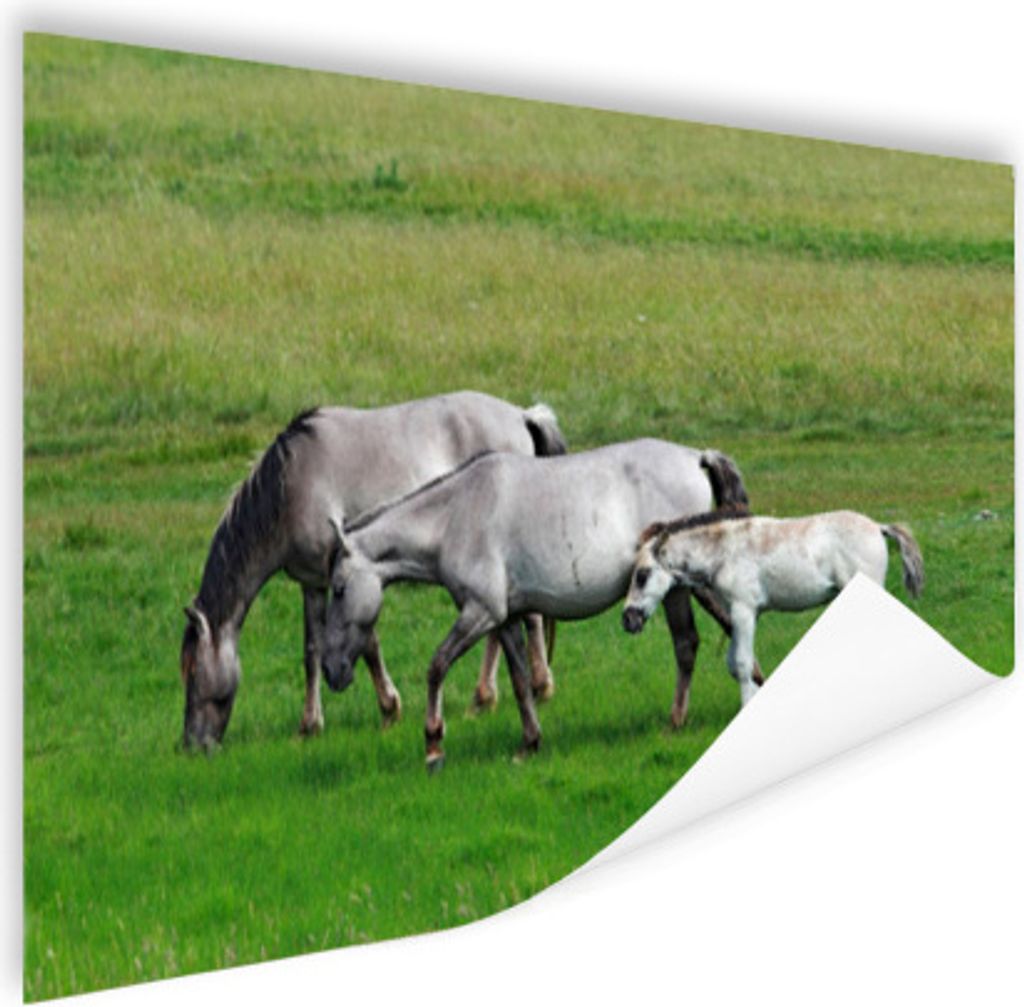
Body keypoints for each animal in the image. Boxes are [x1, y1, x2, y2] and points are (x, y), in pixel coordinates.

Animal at [180, 391, 567, 750]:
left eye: (194, 671)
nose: (191, 745)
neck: (292, 487)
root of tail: (522, 415)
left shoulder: (351, 575)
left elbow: (367, 643)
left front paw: (389, 709)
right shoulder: (313, 583)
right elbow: (312, 650)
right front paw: (309, 725)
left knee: (527, 619)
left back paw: (531, 687)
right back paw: (490, 696)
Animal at [320, 442, 751, 770]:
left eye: (338, 589)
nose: (331, 671)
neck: (455, 516)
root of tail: (695, 456)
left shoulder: (481, 612)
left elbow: (437, 665)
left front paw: (433, 745)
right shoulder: (506, 618)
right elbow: (519, 680)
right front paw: (529, 743)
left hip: (680, 588)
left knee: (689, 644)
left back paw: (676, 721)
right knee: (722, 630)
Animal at [622, 509, 924, 706]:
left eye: (643, 575)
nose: (628, 620)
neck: (724, 553)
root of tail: (878, 527)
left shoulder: (743, 611)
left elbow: (743, 664)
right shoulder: (742, 614)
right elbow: (735, 664)